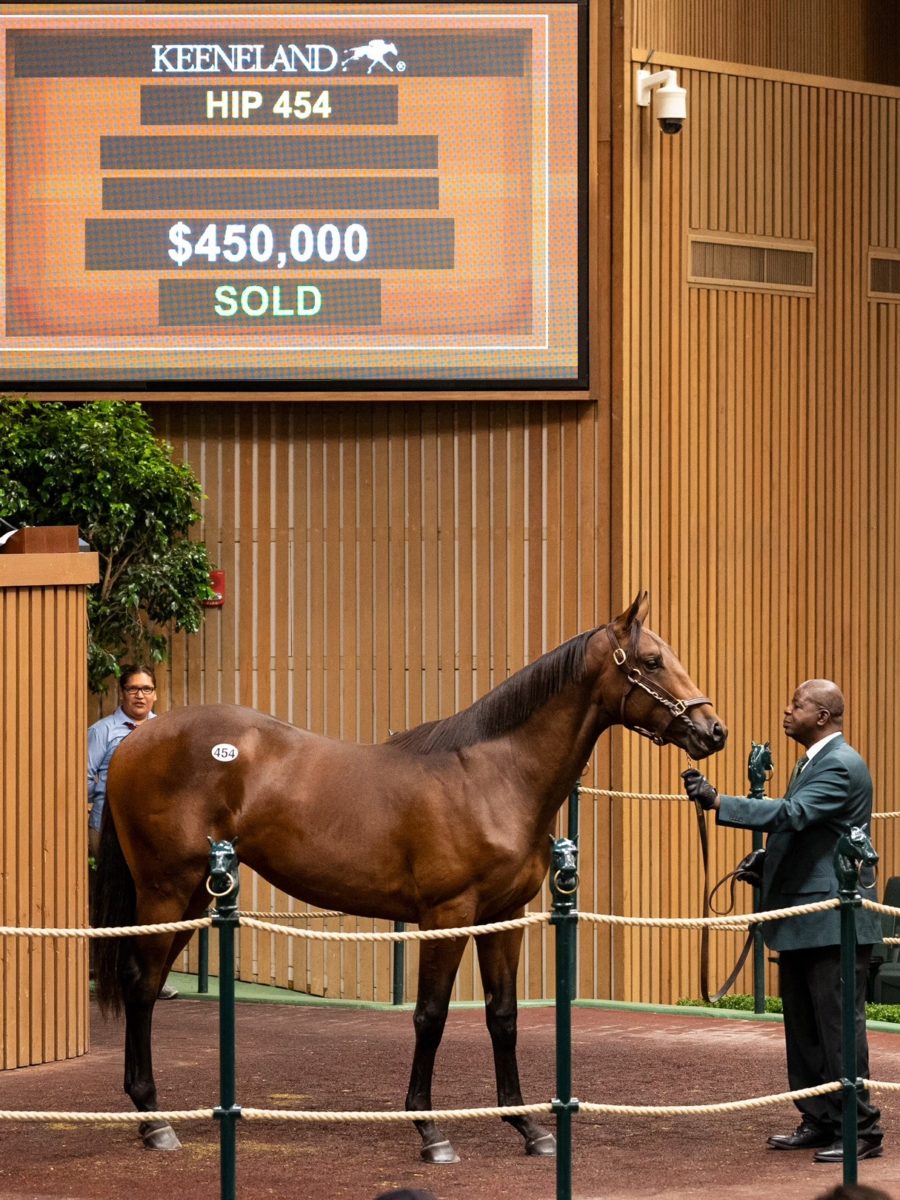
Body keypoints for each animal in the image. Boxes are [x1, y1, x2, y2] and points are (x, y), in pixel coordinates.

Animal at [91, 595, 724, 1156]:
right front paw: (429, 1129)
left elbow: (503, 1016)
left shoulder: (504, 917)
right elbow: (431, 1016)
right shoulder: (446, 917)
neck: (492, 777)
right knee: (141, 986)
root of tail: (136, 739)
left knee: (146, 983)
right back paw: (153, 1120)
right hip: (166, 891)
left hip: (196, 897)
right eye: (651, 661)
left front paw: (527, 1126)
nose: (713, 731)